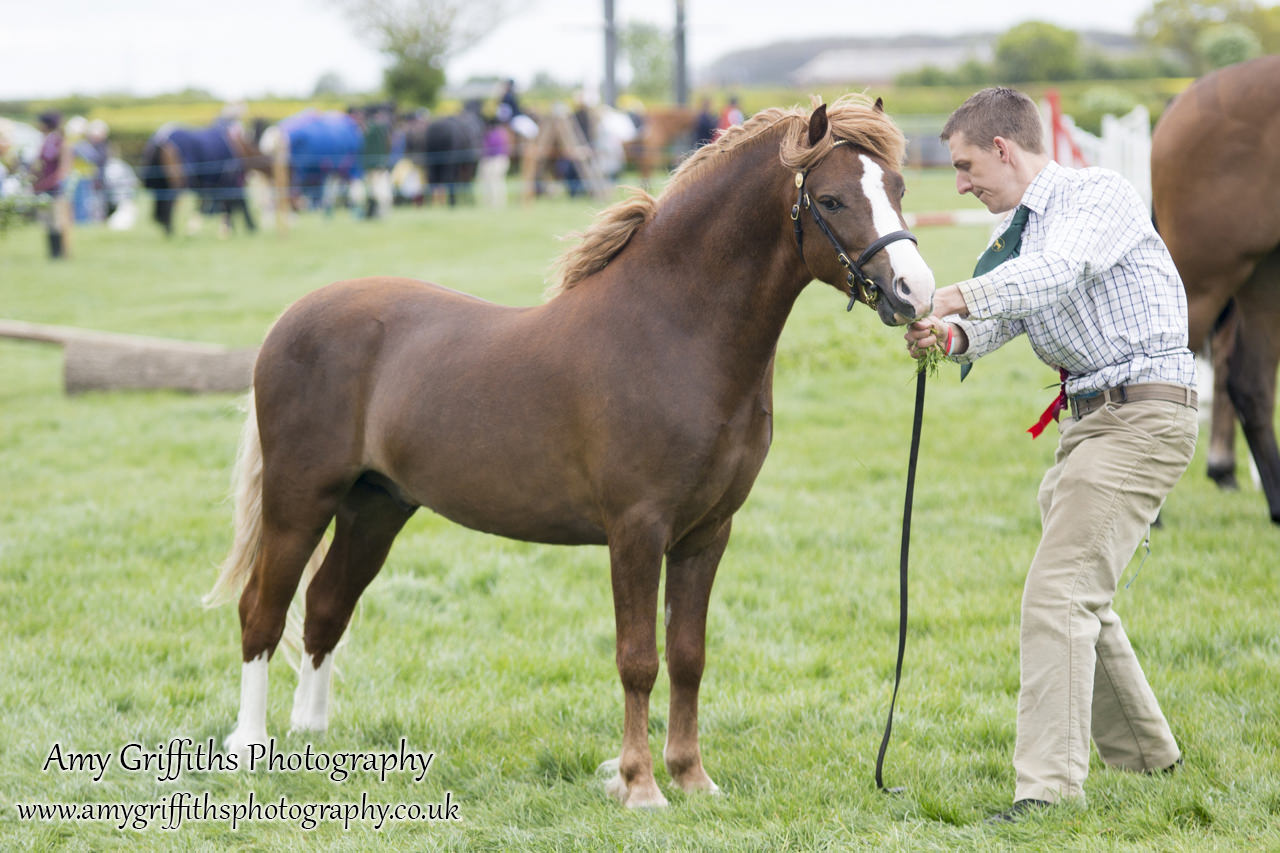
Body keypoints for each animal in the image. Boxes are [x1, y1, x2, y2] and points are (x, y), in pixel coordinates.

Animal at [204, 97, 936, 804]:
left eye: (899, 187)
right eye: (833, 199)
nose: (916, 293)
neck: (674, 332)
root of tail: (290, 321)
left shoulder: (707, 533)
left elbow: (689, 655)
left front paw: (692, 778)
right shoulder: (636, 530)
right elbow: (638, 658)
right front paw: (639, 785)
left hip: (375, 507)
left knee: (326, 605)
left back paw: (313, 737)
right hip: (300, 500)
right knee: (263, 609)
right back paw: (251, 744)